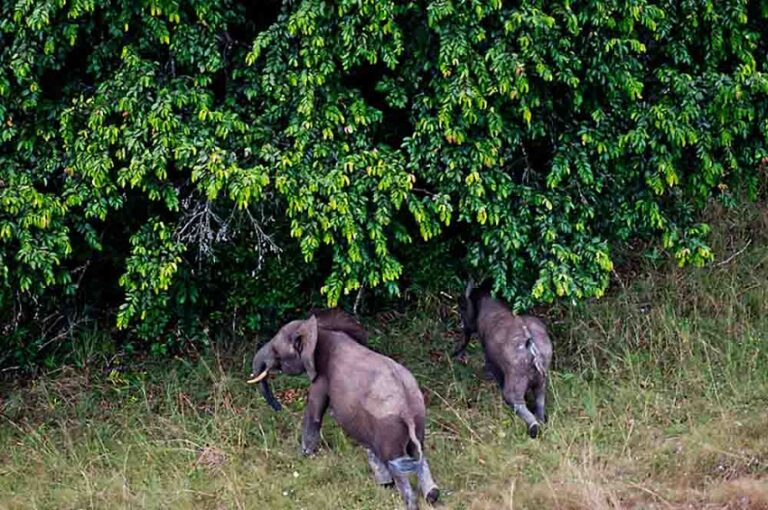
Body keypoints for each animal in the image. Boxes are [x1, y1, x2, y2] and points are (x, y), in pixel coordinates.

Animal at [247, 311, 440, 510]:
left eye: (276, 351)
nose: (278, 407)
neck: (320, 330)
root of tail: (407, 411)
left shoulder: (321, 378)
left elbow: (314, 412)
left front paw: (304, 457)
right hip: (418, 417)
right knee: (417, 453)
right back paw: (431, 496)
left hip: (389, 427)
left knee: (395, 461)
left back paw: (411, 503)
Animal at [453, 279, 553, 438]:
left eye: (463, 308)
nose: (461, 325)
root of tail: (533, 350)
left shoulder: (491, 359)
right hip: (541, 380)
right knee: (540, 399)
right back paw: (542, 421)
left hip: (516, 380)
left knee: (516, 401)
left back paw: (533, 429)